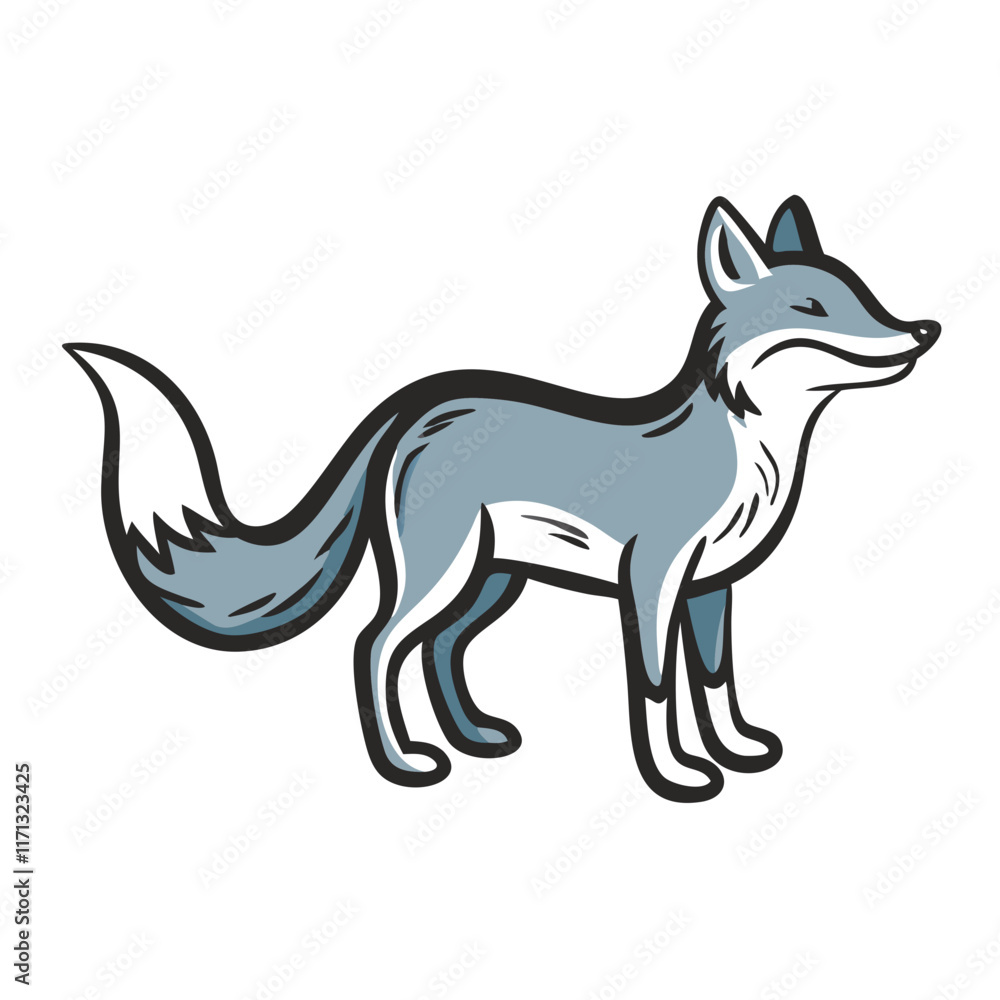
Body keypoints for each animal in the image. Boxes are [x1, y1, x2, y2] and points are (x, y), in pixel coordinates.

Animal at [66, 196, 939, 802]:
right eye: (813, 309)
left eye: (865, 295)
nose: (925, 330)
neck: (749, 451)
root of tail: (411, 406)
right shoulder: (651, 581)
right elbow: (658, 690)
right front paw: (679, 778)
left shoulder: (710, 588)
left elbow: (715, 682)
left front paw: (738, 753)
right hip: (445, 574)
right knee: (376, 646)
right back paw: (407, 763)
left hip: (491, 582)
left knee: (440, 651)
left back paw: (475, 739)